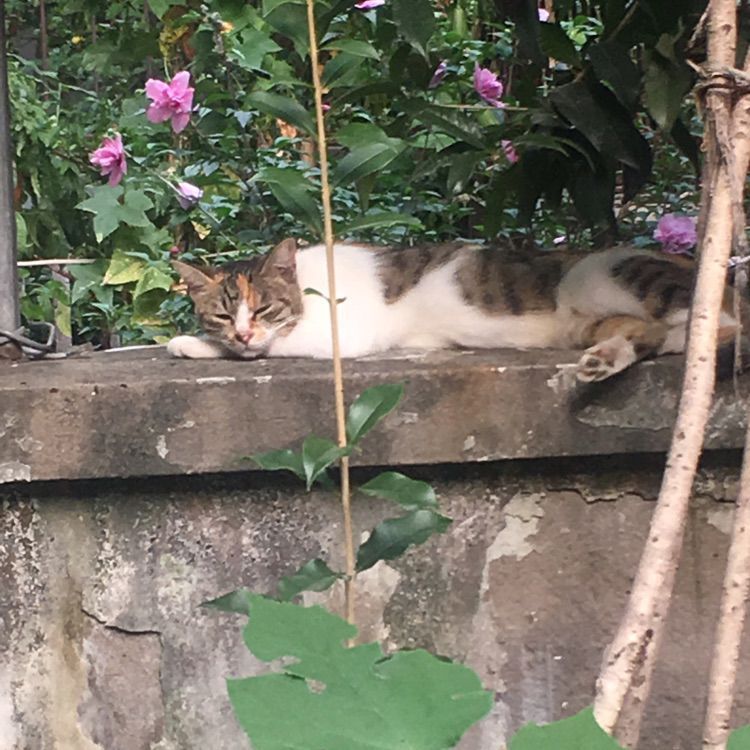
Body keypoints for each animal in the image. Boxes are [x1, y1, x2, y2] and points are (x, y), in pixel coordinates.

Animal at [166, 238, 744, 382]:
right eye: (224, 314)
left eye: (263, 309)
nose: (241, 333)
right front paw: (197, 340)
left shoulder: (345, 335)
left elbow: (275, 347)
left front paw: (192, 343)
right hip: (590, 320)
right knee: (645, 333)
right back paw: (604, 359)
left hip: (605, 273)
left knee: (724, 323)